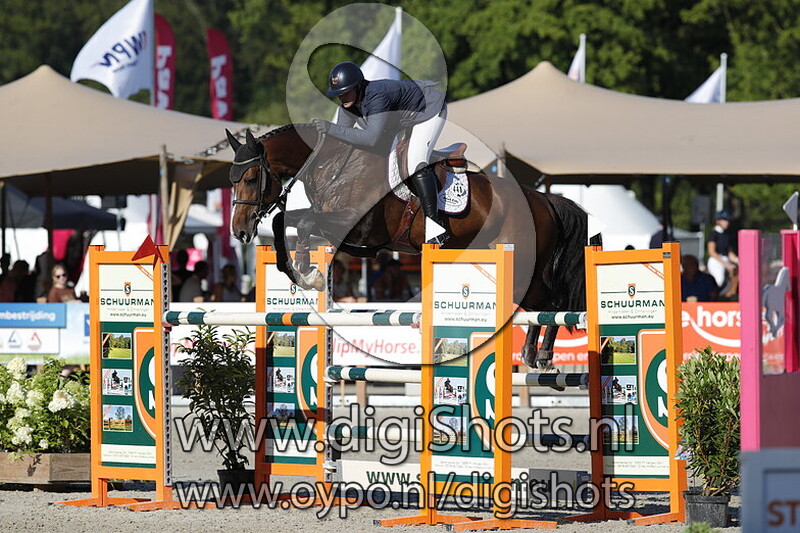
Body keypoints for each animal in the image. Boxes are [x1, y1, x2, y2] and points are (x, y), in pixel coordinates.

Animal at [225, 124, 598, 369]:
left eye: (250, 178)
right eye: (231, 179)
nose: (240, 231)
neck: (335, 166)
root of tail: (543, 199)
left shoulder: (361, 231)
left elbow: (302, 224)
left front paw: (308, 272)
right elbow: (285, 222)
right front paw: (301, 270)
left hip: (520, 264)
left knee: (553, 303)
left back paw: (543, 355)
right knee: (539, 304)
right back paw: (533, 354)